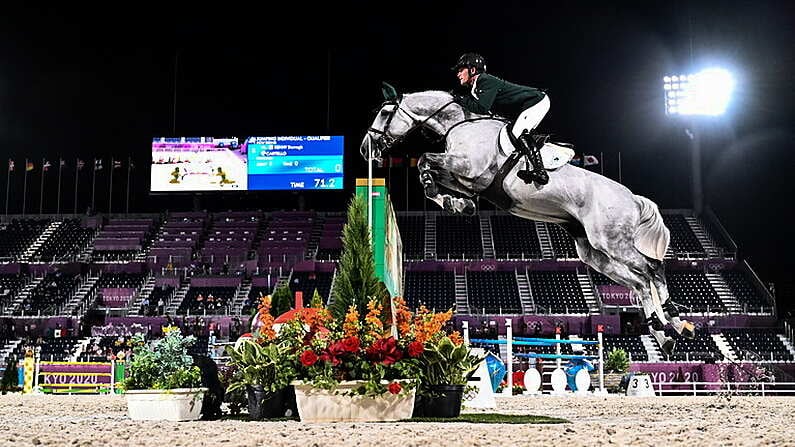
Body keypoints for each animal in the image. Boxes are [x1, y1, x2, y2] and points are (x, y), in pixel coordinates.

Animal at [364, 87, 692, 356]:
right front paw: (457, 204)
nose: (365, 148)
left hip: (611, 241)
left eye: (384, 113)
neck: (460, 123)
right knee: (639, 282)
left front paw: (448, 199)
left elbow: (424, 160)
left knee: (652, 270)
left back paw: (673, 321)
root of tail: (632, 198)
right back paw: (665, 332)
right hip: (594, 254)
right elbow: (432, 172)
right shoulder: (467, 180)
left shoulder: (469, 169)